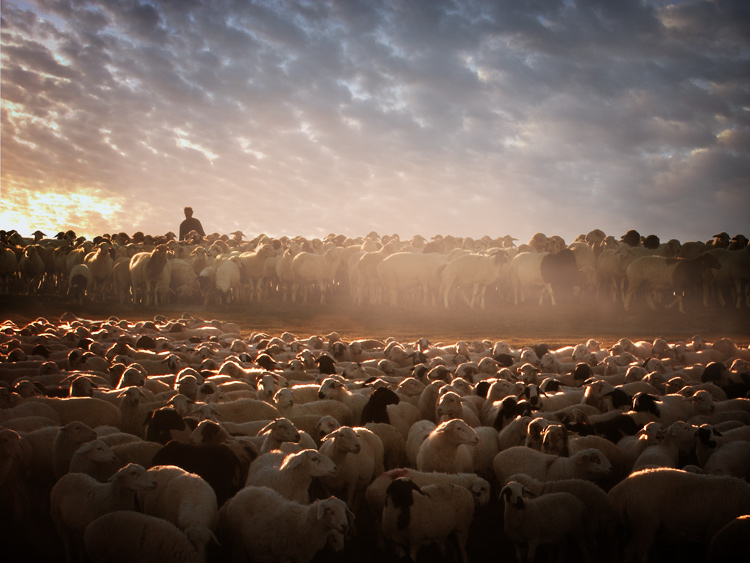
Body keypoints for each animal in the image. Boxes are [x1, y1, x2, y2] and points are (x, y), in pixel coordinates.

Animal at [217, 484, 352, 563]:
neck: (302, 525)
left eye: (344, 510)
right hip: (237, 539)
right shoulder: (283, 556)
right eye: (330, 510)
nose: (345, 526)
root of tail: (236, 495)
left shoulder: (302, 558)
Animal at [608, 468, 750, 563]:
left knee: (629, 551)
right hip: (646, 523)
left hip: (638, 526)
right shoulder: (714, 530)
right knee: (640, 552)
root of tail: (619, 492)